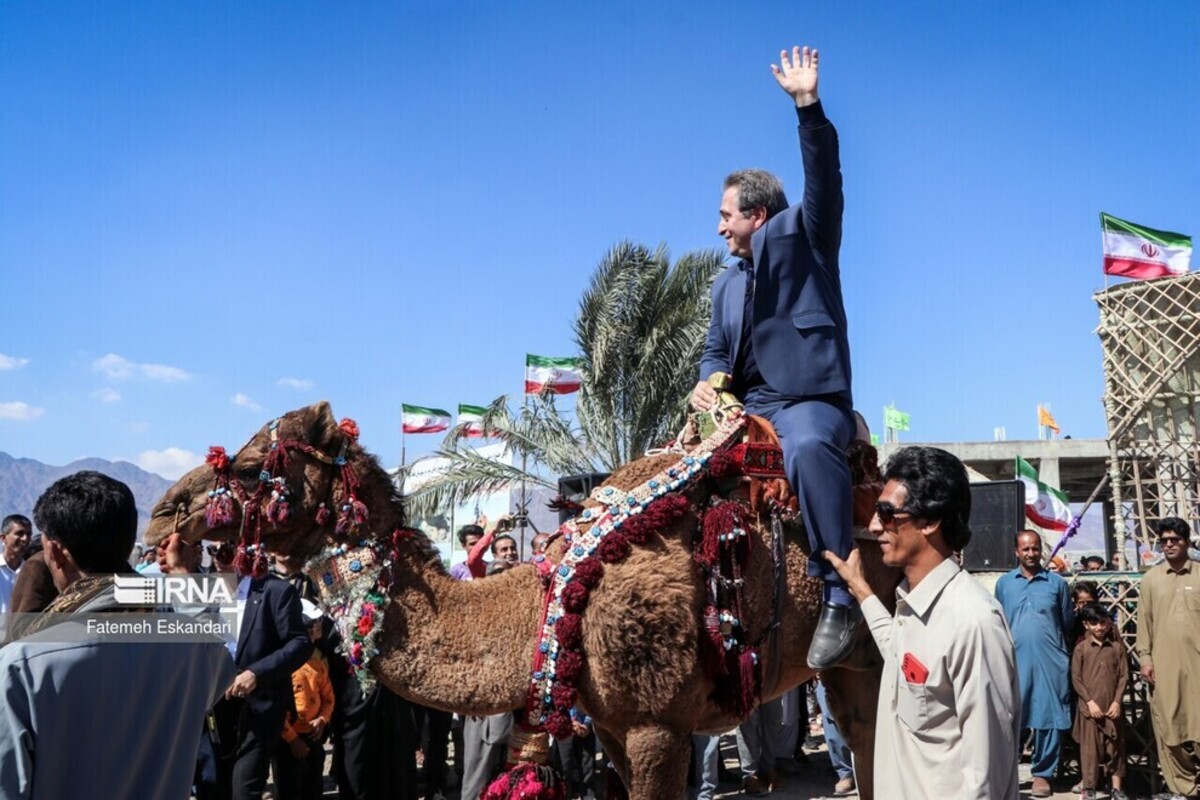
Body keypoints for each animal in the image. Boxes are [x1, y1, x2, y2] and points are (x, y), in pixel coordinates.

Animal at [147, 402, 902, 796]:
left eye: (253, 467)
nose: (160, 516)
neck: (551, 605)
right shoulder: (614, 725)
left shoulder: (658, 721)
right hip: (854, 668)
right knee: (865, 736)